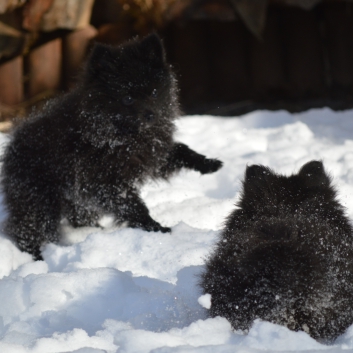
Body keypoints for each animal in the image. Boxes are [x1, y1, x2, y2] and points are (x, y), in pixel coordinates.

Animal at [2, 34, 223, 260]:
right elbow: (132, 205)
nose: (151, 114)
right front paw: (155, 228)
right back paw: (37, 257)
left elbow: (180, 150)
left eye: (154, 92)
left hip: (75, 200)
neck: (123, 136)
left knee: (75, 217)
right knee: (27, 229)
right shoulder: (105, 181)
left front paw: (208, 163)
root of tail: (13, 141)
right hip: (38, 199)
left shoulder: (152, 154)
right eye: (127, 98)